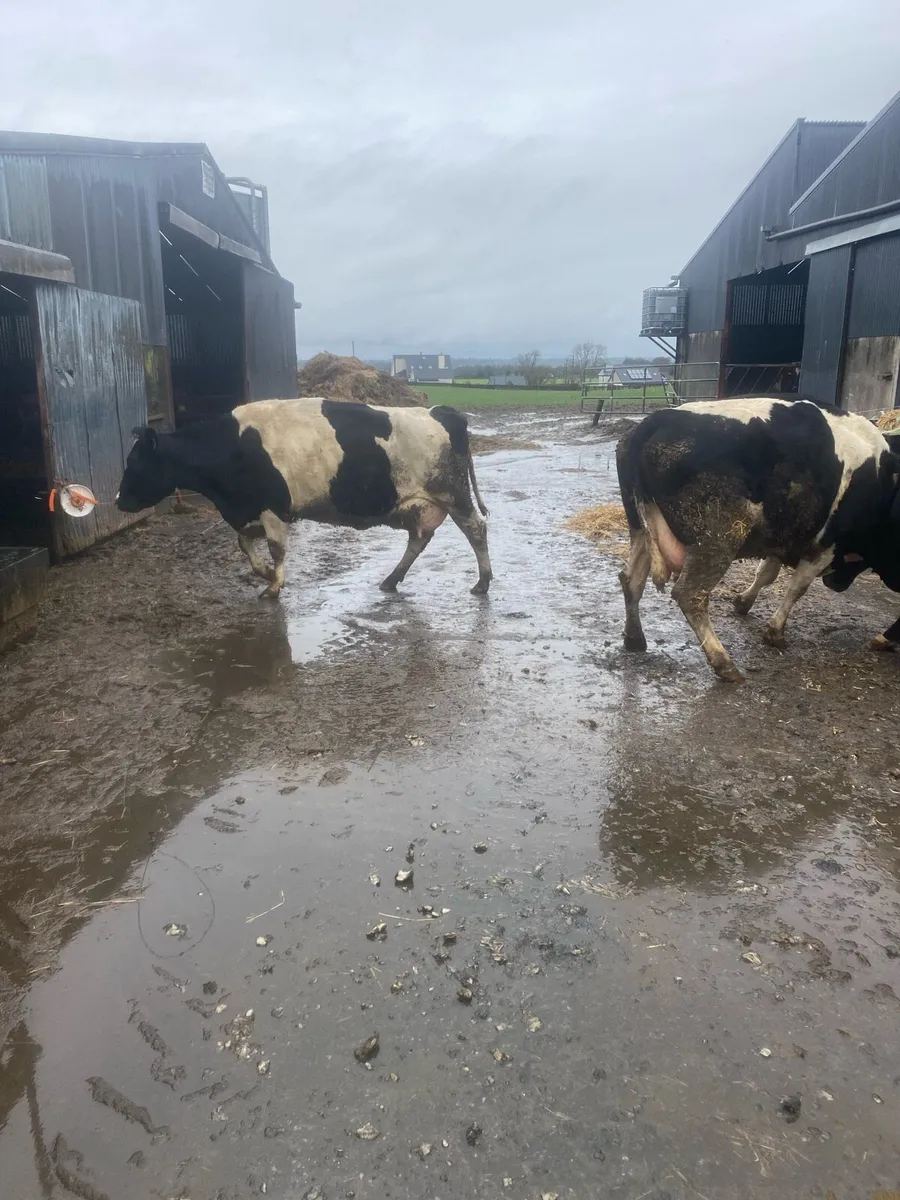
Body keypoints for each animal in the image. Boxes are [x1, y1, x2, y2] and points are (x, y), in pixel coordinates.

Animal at [116, 398, 492, 598]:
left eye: (134, 464)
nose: (118, 500)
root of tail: (441, 410)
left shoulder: (272, 508)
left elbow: (277, 549)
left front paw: (273, 585)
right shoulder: (248, 510)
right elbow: (245, 545)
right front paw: (265, 574)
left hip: (453, 493)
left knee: (476, 529)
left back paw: (483, 582)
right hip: (419, 505)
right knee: (419, 538)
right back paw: (390, 581)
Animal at [616, 396, 900, 682]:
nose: (836, 583)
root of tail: (655, 421)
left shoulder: (783, 533)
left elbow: (766, 573)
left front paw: (743, 602)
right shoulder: (826, 544)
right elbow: (797, 587)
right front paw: (775, 632)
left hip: (641, 527)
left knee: (631, 580)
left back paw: (634, 638)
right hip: (719, 537)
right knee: (690, 594)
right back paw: (724, 663)